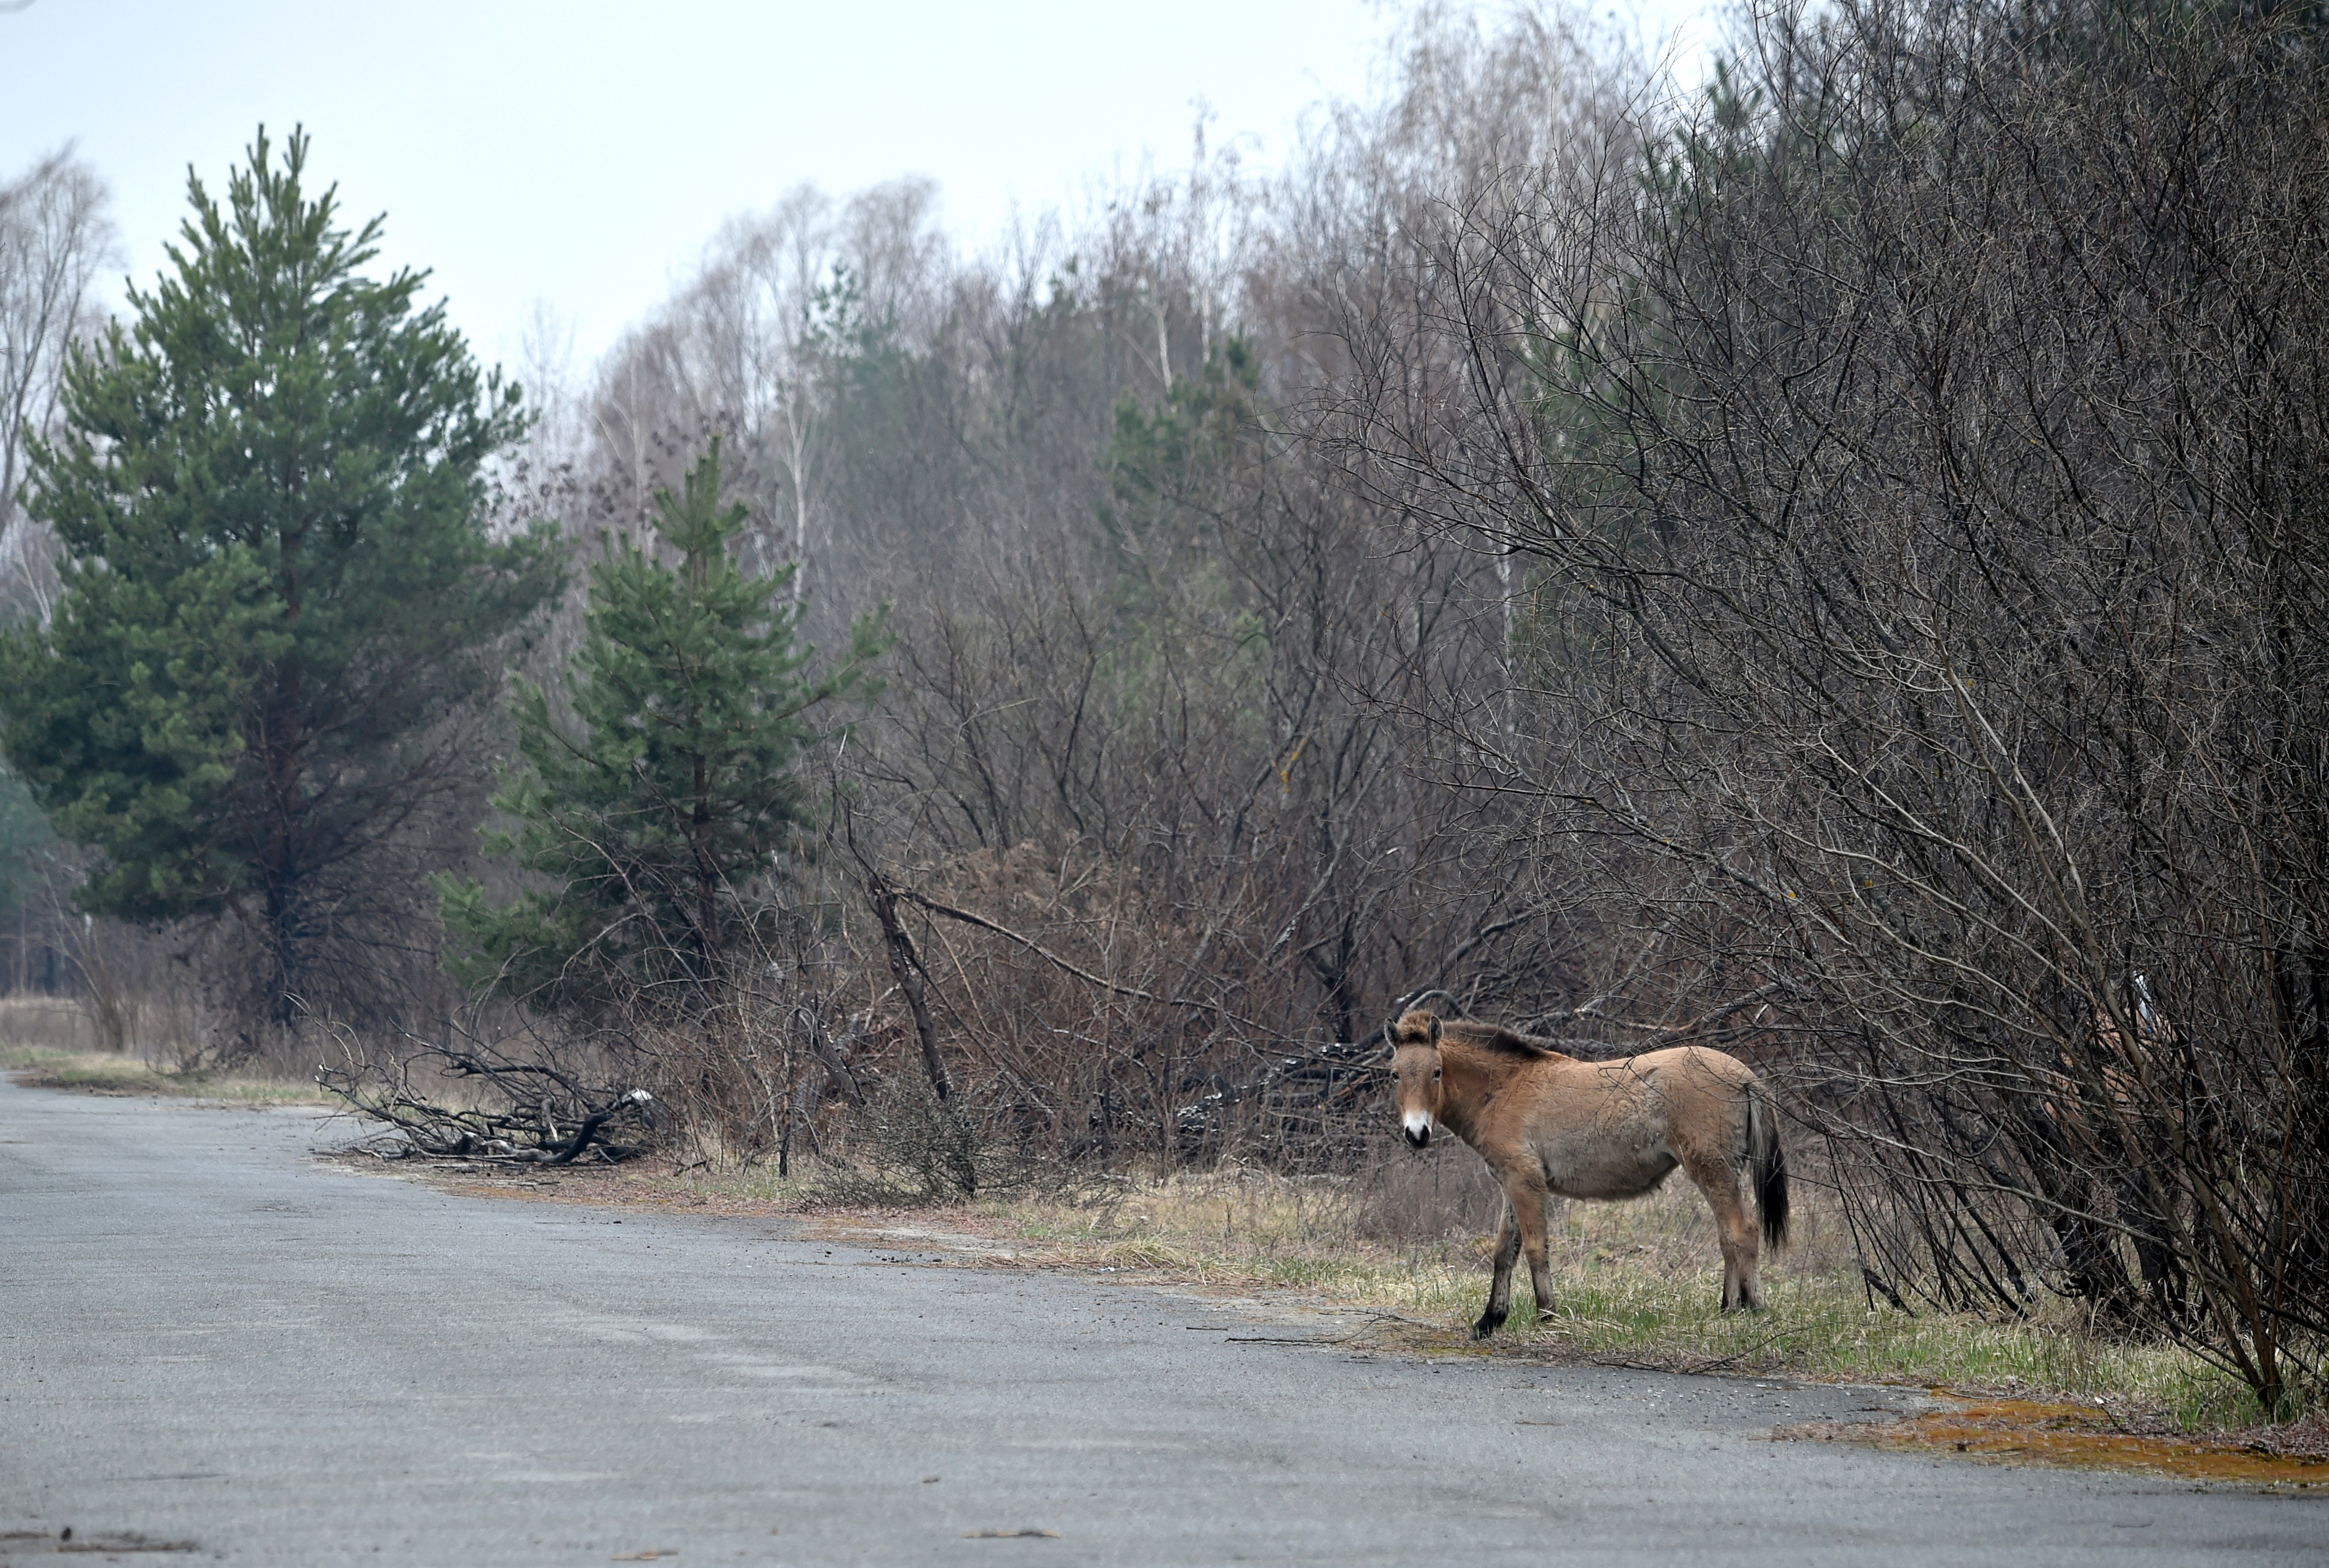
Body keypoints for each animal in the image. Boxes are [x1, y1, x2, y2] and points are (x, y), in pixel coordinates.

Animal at [1384, 1006, 1789, 1337]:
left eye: (1437, 1073)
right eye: (1395, 1075)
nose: (1417, 1134)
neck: (1503, 1088)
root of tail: (1744, 1075)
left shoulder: (1525, 1182)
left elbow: (1535, 1248)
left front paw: (1547, 1315)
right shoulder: (1510, 1185)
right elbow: (1504, 1252)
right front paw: (1490, 1321)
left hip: (1713, 1171)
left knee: (1742, 1231)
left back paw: (1754, 1308)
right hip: (1721, 1174)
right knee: (1727, 1238)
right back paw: (1728, 1308)